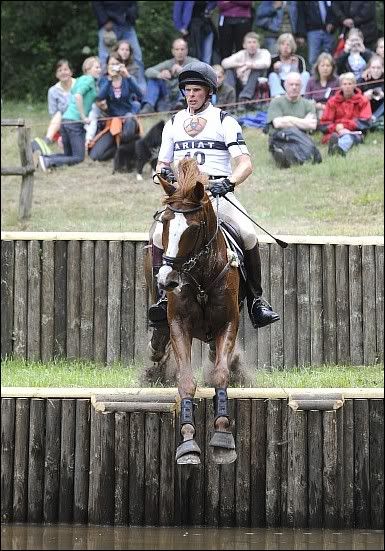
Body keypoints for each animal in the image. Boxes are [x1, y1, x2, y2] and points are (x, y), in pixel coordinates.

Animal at [144, 160, 243, 466]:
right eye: (165, 222)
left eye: (194, 228)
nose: (167, 280)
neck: (199, 278)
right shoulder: (179, 325)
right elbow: (186, 381)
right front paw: (187, 442)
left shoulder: (228, 322)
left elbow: (220, 375)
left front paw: (223, 437)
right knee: (159, 334)